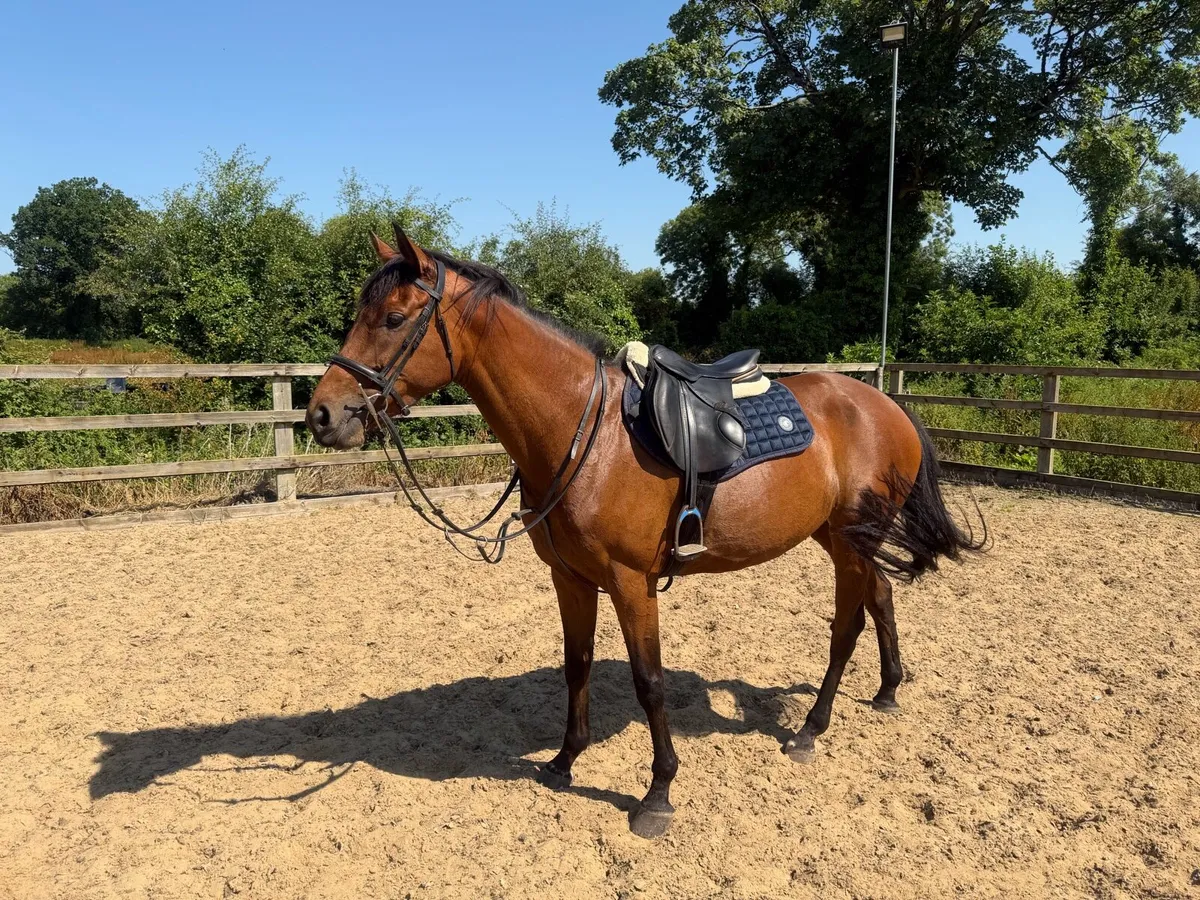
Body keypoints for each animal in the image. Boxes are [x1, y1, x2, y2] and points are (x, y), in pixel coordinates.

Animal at [305, 227, 986, 839]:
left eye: (394, 318)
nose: (322, 414)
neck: (583, 433)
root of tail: (887, 406)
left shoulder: (632, 584)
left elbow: (649, 682)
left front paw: (657, 795)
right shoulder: (570, 579)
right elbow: (576, 664)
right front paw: (564, 761)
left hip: (849, 540)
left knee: (847, 624)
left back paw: (809, 730)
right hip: (841, 538)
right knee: (881, 598)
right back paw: (888, 691)